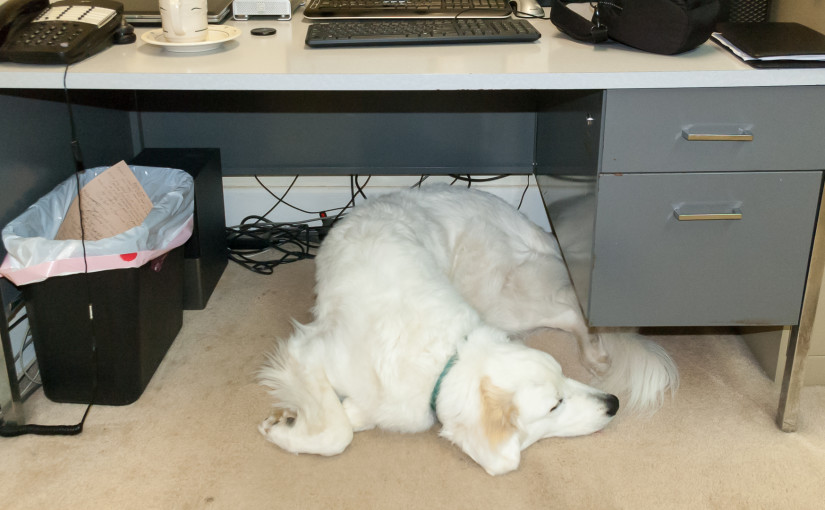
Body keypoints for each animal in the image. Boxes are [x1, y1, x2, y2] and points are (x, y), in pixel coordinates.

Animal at [260, 185, 676, 476]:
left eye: (563, 377)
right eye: (555, 404)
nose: (614, 403)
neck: (445, 361)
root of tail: (524, 219)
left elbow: (342, 425)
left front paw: (289, 423)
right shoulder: (307, 352)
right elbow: (338, 432)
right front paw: (288, 425)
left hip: (501, 303)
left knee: (573, 310)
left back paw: (594, 354)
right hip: (501, 304)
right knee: (570, 310)